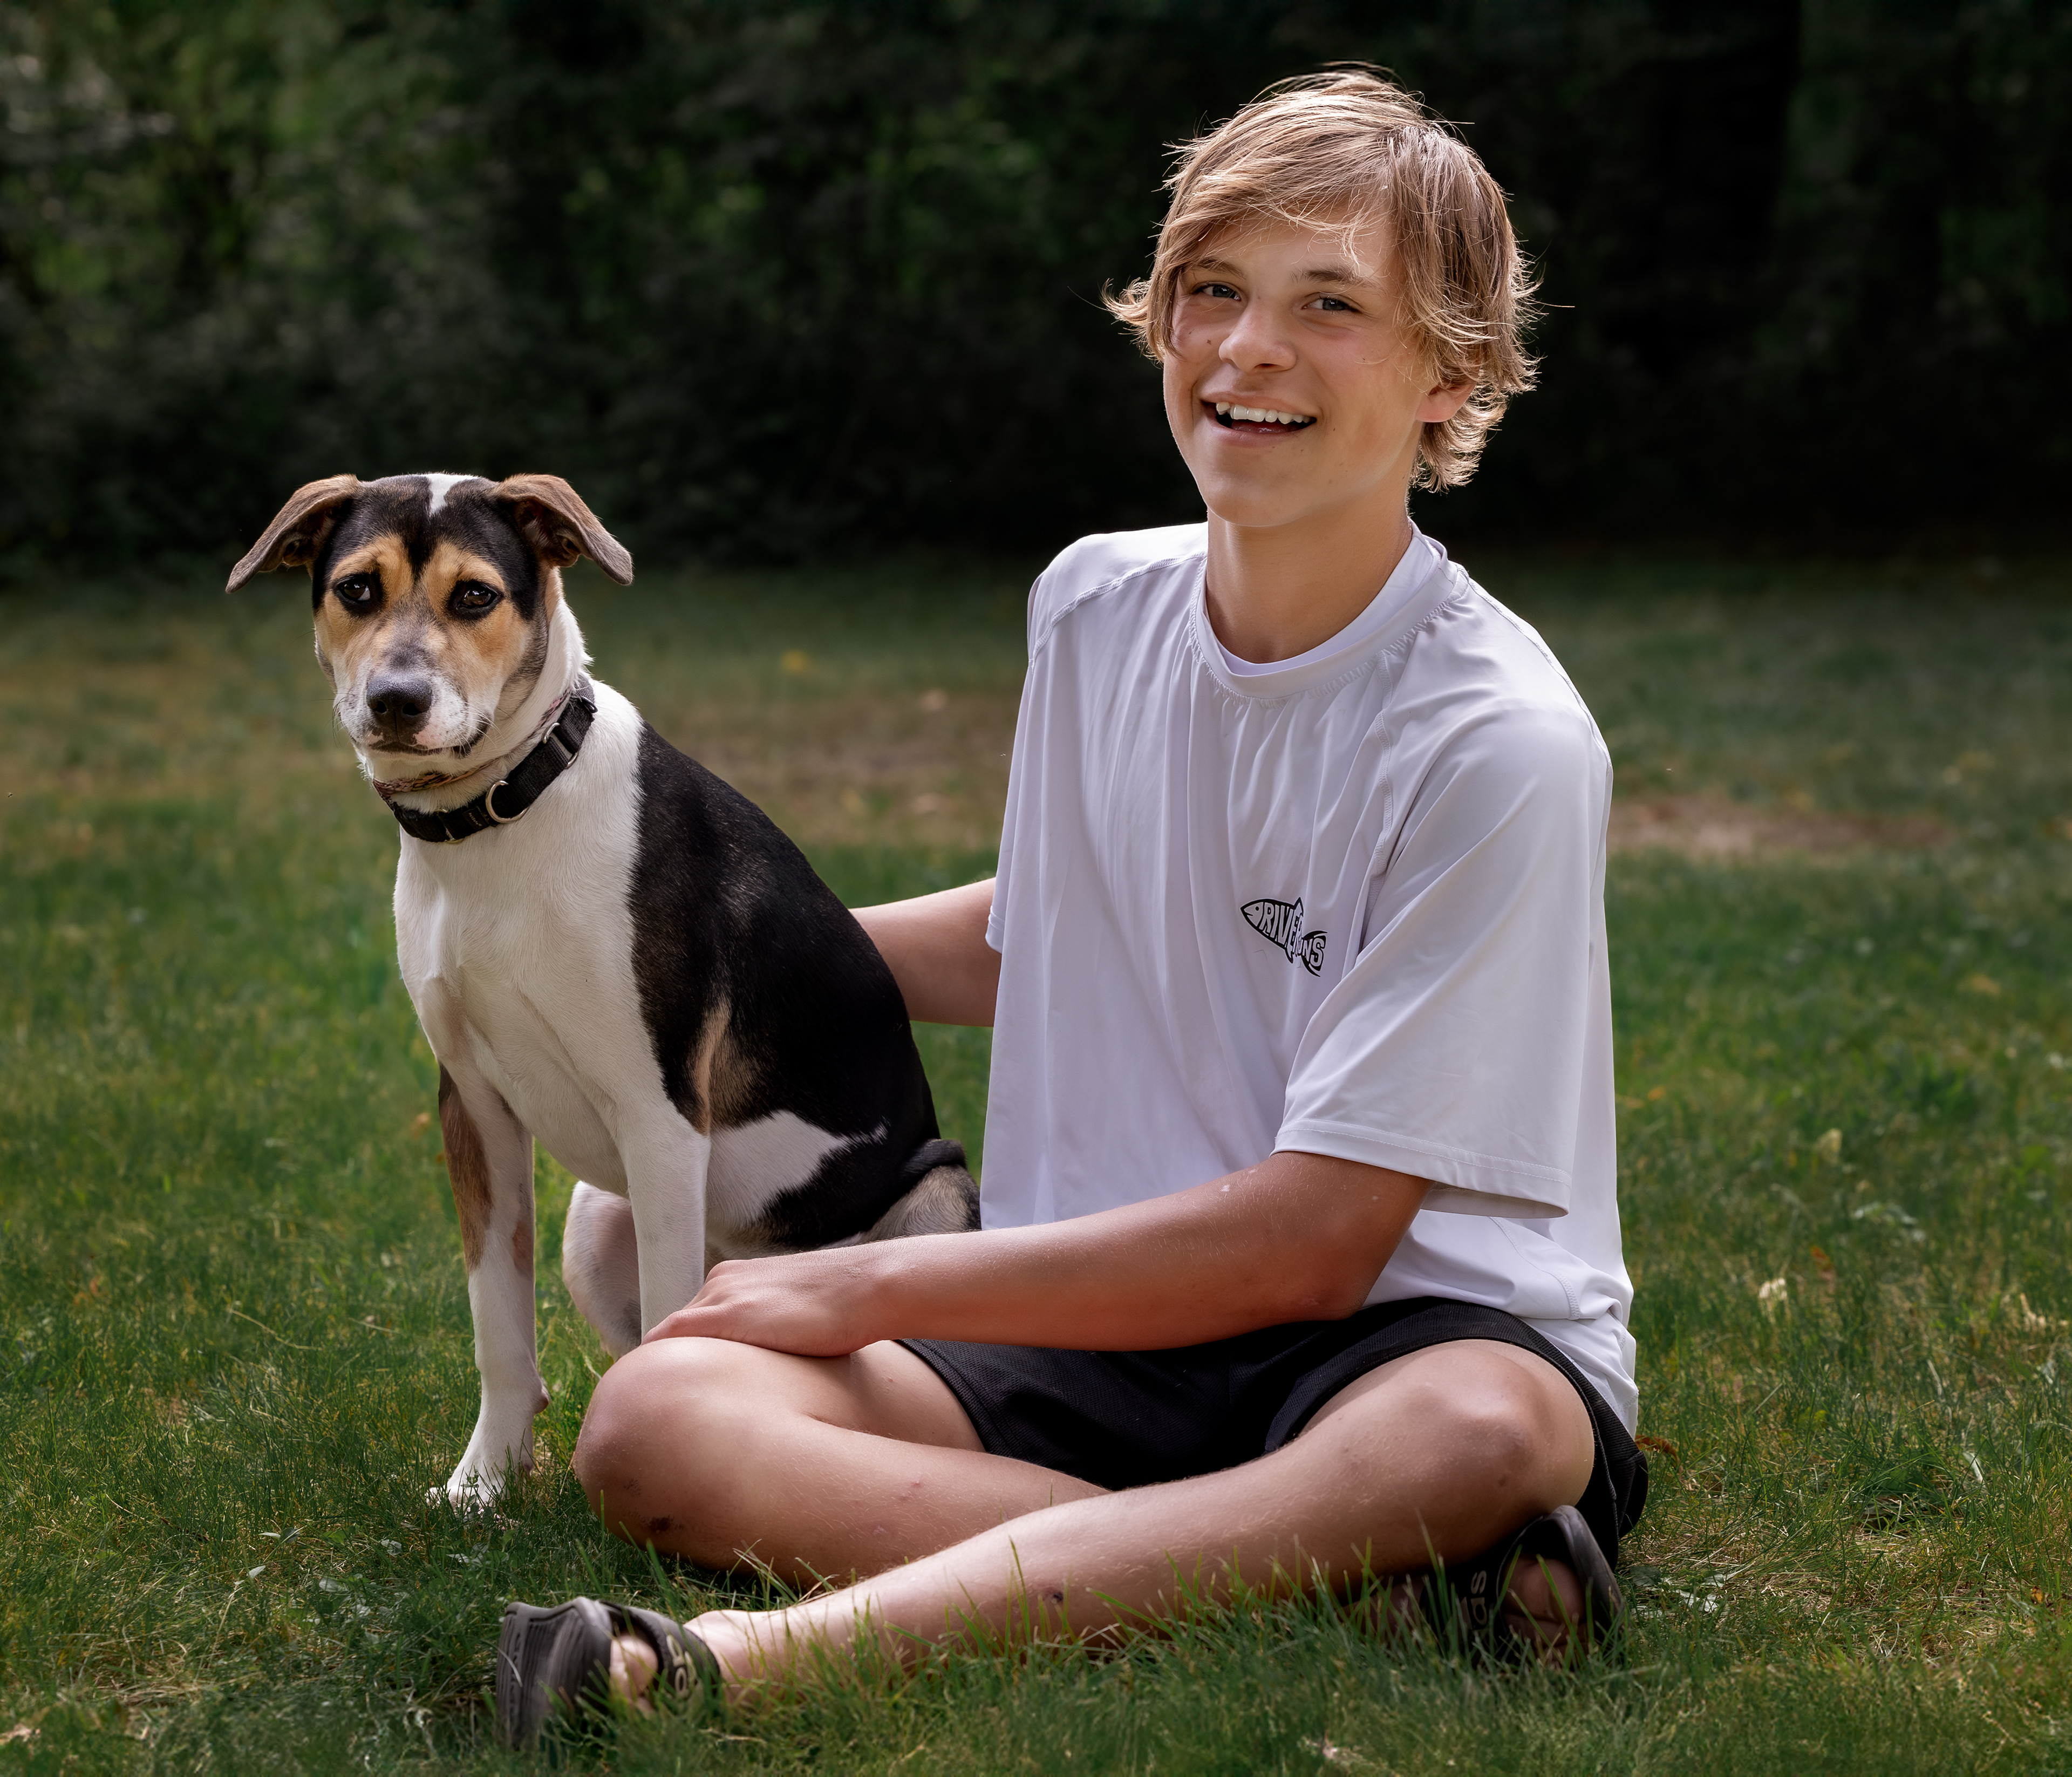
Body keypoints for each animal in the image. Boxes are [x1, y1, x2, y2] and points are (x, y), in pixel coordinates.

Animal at [228, 472, 978, 1505]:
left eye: (475, 595)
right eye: (357, 590)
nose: (397, 699)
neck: (503, 813)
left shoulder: (658, 1112)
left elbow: (668, 1324)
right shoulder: (476, 1106)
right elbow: (499, 1323)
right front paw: (484, 1486)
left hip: (933, 1191)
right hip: (592, 1217)